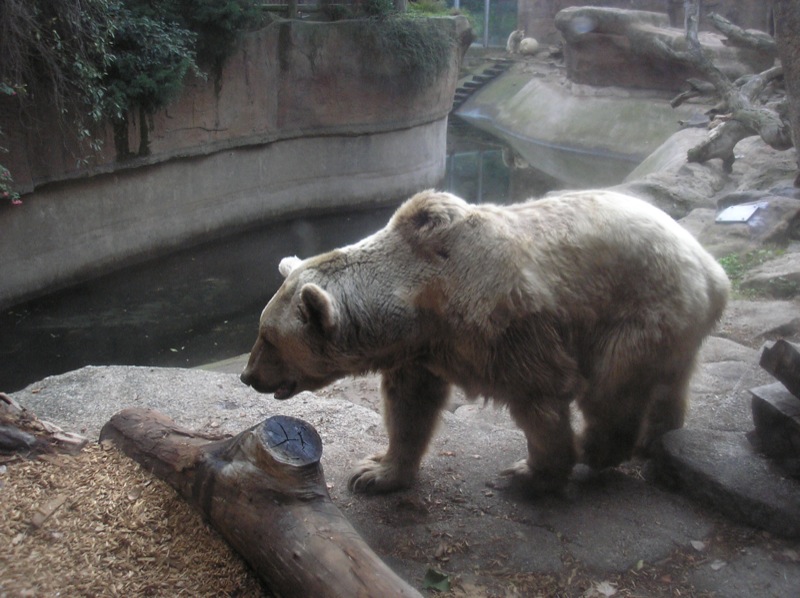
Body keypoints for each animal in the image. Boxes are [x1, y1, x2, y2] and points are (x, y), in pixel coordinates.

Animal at [239, 191, 732, 496]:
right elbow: (410, 405)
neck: (421, 298)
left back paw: (599, 449)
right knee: (669, 383)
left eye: (268, 337)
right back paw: (656, 437)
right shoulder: (421, 351)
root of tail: (713, 270)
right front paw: (375, 472)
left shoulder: (505, 325)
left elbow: (539, 395)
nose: (248, 375)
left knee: (612, 388)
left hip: (639, 310)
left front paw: (531, 474)